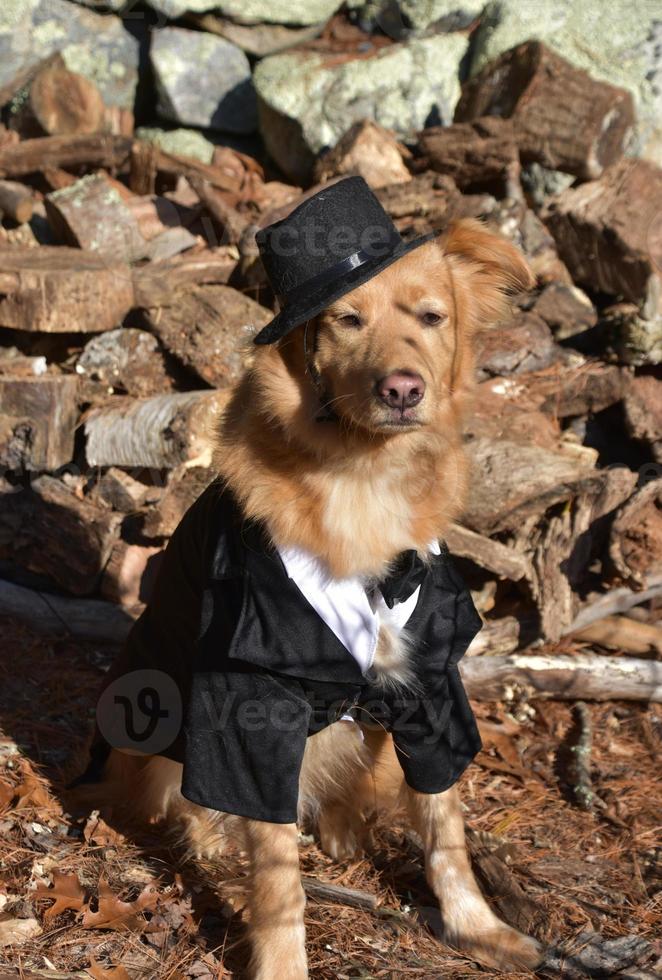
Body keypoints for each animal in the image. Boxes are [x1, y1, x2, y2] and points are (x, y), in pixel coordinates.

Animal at [79, 178, 544, 980]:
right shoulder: (253, 700)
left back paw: (344, 825)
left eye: (432, 317)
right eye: (347, 321)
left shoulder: (429, 677)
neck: (362, 479)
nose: (402, 389)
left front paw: (477, 926)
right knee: (186, 804)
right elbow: (277, 875)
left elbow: (445, 825)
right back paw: (208, 837)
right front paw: (281, 962)